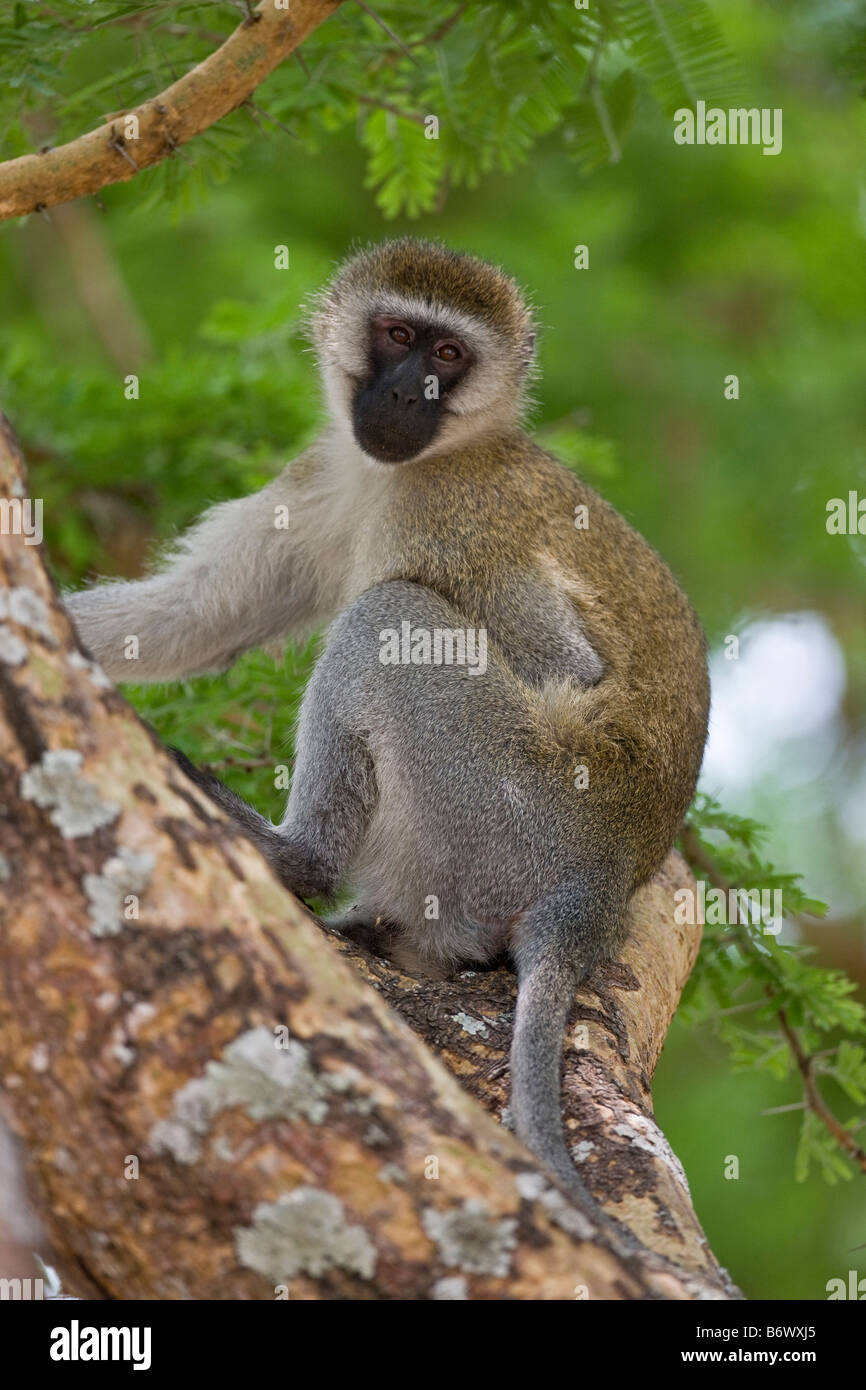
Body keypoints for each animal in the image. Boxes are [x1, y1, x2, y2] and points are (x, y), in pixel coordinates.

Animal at [64, 241, 708, 1217]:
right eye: (400, 335)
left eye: (449, 356)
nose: (408, 394)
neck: (419, 461)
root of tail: (597, 883)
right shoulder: (323, 477)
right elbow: (193, 618)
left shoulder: (453, 516)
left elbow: (569, 670)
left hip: (508, 803)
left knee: (387, 617)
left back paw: (299, 859)